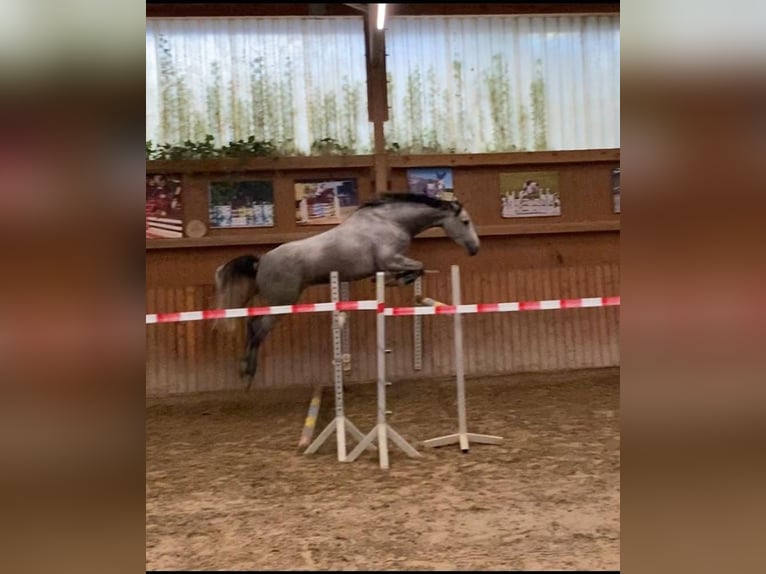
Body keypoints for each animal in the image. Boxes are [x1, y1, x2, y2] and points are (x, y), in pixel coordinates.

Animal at [214, 193, 480, 388]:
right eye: (465, 222)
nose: (475, 249)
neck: (391, 221)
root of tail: (261, 261)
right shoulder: (391, 259)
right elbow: (418, 267)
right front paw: (395, 281)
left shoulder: (390, 262)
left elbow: (416, 270)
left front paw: (391, 281)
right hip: (282, 303)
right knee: (257, 327)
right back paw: (247, 373)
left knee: (252, 325)